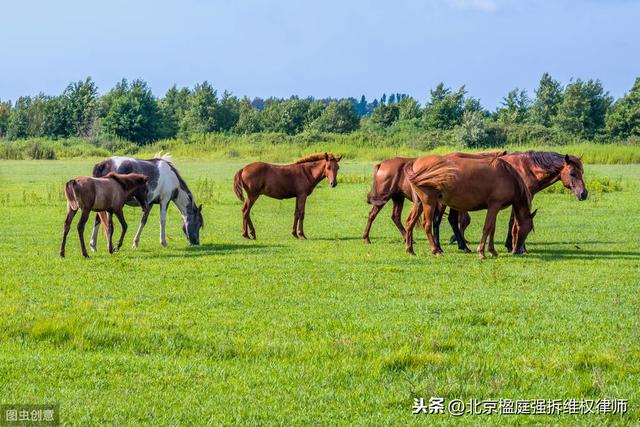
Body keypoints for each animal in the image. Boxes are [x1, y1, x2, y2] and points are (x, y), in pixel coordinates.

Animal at [404, 155, 536, 260]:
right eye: (529, 228)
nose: (518, 250)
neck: (507, 175)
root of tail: (416, 163)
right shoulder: (494, 206)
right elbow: (487, 228)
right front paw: (481, 252)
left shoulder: (495, 208)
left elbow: (492, 229)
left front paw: (492, 251)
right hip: (429, 203)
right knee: (427, 225)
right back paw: (436, 250)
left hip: (419, 204)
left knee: (410, 222)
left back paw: (410, 250)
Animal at [448, 150, 588, 252]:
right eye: (572, 173)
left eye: (582, 172)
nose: (584, 194)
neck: (526, 169)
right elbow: (515, 221)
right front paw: (517, 247)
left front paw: (512, 245)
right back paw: (463, 246)